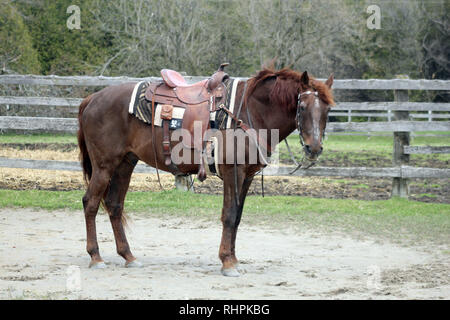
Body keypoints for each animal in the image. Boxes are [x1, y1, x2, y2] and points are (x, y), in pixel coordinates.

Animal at [77, 66, 332, 276]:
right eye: (302, 106)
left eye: (328, 110)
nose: (314, 148)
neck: (250, 111)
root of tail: (92, 98)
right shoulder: (233, 172)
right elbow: (229, 215)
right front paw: (227, 263)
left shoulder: (247, 176)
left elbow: (238, 217)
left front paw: (233, 259)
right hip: (104, 165)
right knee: (91, 203)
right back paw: (96, 257)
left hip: (125, 164)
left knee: (114, 205)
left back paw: (128, 256)